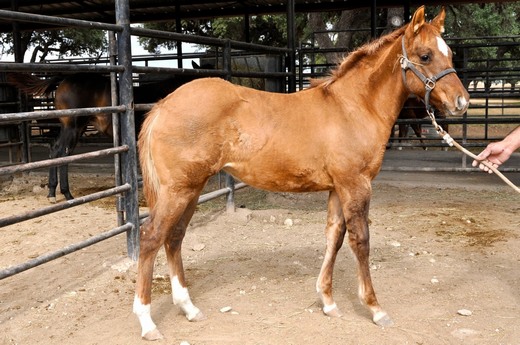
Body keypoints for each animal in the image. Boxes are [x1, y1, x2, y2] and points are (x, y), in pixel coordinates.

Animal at [133, 6, 468, 340]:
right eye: (425, 56)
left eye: (450, 53)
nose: (461, 102)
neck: (353, 108)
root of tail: (163, 106)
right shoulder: (356, 184)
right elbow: (360, 240)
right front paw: (375, 308)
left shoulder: (337, 188)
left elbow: (334, 236)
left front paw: (328, 301)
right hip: (178, 189)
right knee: (151, 238)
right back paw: (148, 323)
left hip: (193, 187)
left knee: (174, 237)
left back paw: (189, 308)